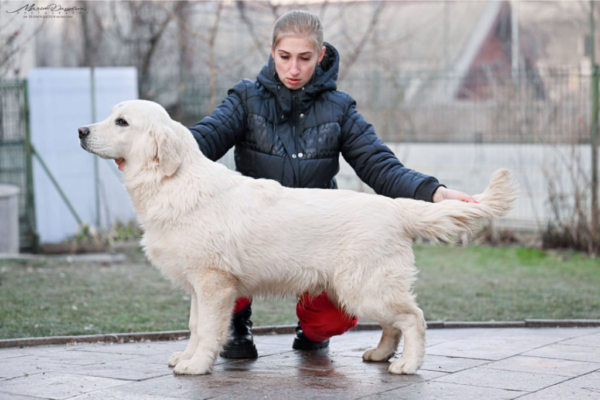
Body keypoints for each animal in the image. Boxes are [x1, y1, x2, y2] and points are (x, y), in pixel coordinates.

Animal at [78, 99, 516, 376]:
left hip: (364, 287)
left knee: (414, 318)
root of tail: (394, 208)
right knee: (394, 323)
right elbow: (194, 325)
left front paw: (198, 366)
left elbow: (207, 330)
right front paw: (186, 357)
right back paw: (380, 354)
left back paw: (407, 364)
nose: (80, 130)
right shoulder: (199, 286)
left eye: (122, 122)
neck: (173, 182)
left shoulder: (213, 283)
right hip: (364, 288)